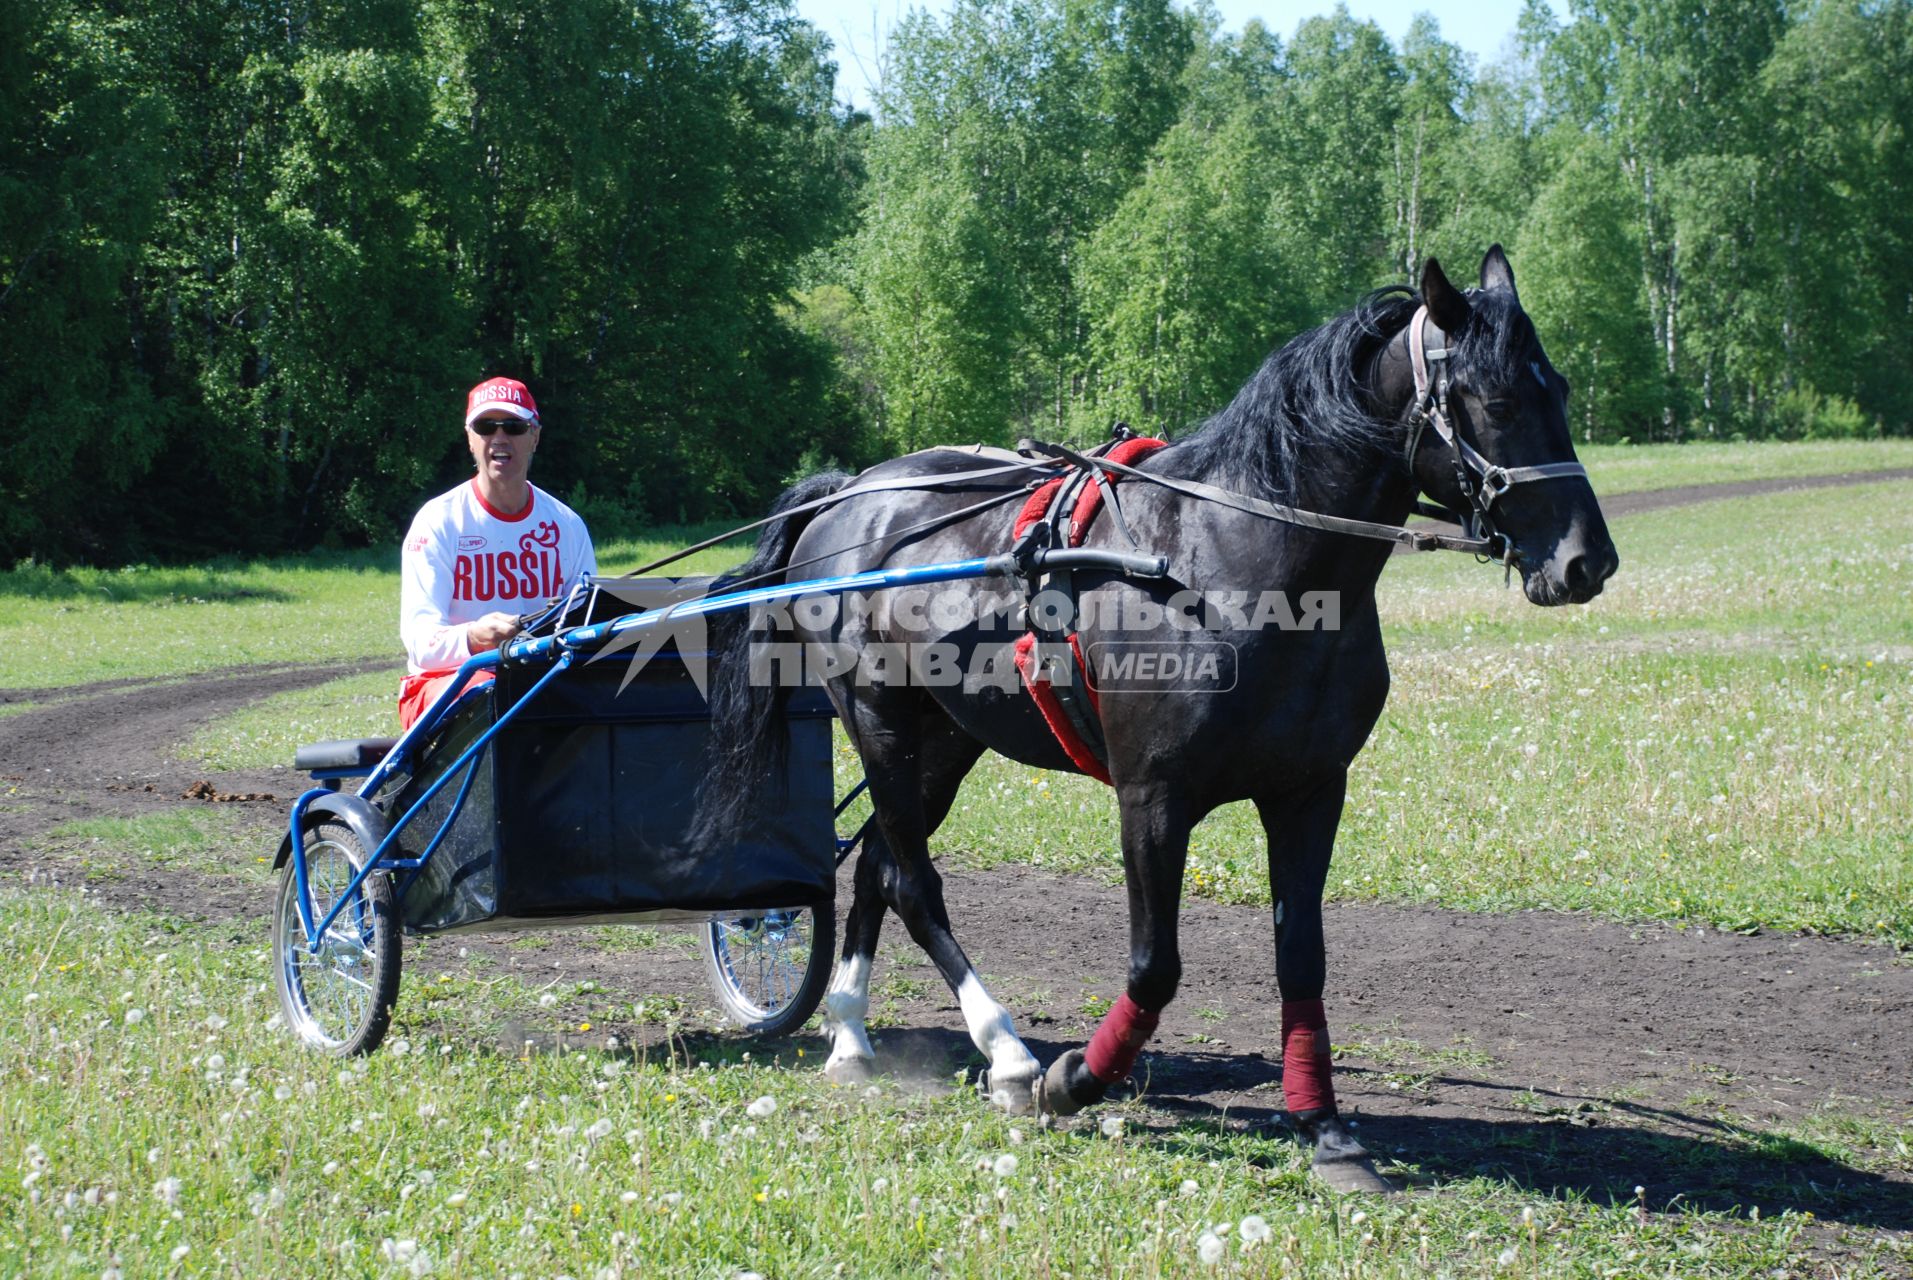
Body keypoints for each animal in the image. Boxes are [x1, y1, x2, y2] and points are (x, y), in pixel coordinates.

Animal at [696, 246, 1606, 1186]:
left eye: (1561, 388)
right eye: (1498, 401)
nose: (1587, 561)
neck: (1227, 562)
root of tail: (850, 494)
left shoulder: (1310, 793)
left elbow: (1301, 960)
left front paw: (1326, 1130)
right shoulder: (1152, 797)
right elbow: (1154, 967)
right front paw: (1073, 1081)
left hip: (946, 739)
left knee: (879, 861)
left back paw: (849, 1035)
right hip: (877, 718)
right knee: (913, 881)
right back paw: (1006, 1054)